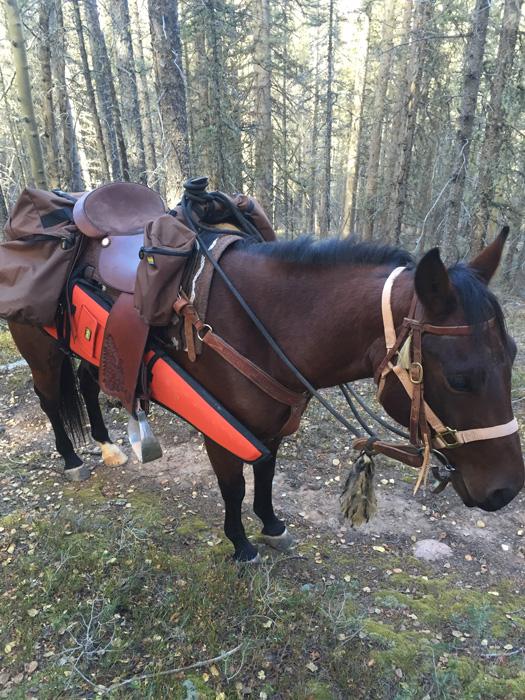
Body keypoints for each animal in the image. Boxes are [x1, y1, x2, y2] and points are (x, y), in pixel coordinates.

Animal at [8, 228, 523, 562]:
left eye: (513, 354)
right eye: (460, 378)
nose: (507, 489)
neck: (259, 324)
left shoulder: (270, 425)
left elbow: (266, 473)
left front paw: (271, 525)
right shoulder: (221, 432)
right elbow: (234, 486)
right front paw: (241, 544)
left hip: (94, 351)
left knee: (87, 383)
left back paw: (107, 445)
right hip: (38, 348)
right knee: (49, 397)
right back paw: (72, 458)